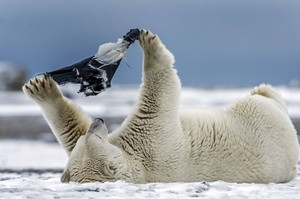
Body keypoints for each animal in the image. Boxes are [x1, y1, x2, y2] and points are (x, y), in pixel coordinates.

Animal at [22, 29, 298, 183]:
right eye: (95, 139)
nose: (99, 122)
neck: (139, 166)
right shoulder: (153, 141)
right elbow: (160, 91)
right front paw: (148, 42)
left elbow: (70, 130)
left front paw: (39, 87)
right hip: (259, 116)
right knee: (262, 102)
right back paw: (263, 89)